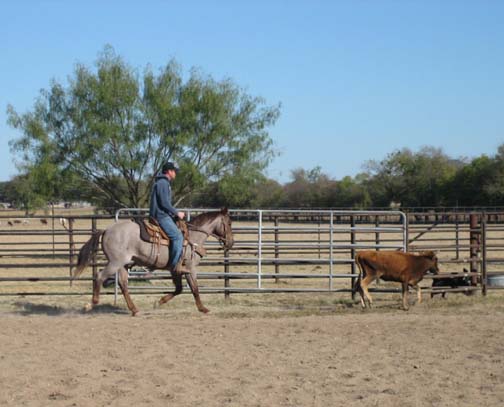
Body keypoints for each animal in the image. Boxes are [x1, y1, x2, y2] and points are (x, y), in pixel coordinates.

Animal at [73, 209, 234, 318]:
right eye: (229, 223)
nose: (231, 243)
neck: (192, 238)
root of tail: (106, 230)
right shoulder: (190, 268)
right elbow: (194, 289)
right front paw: (203, 309)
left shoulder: (175, 270)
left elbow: (179, 289)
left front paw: (159, 301)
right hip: (115, 262)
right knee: (100, 276)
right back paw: (90, 304)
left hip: (123, 265)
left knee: (123, 284)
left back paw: (134, 310)